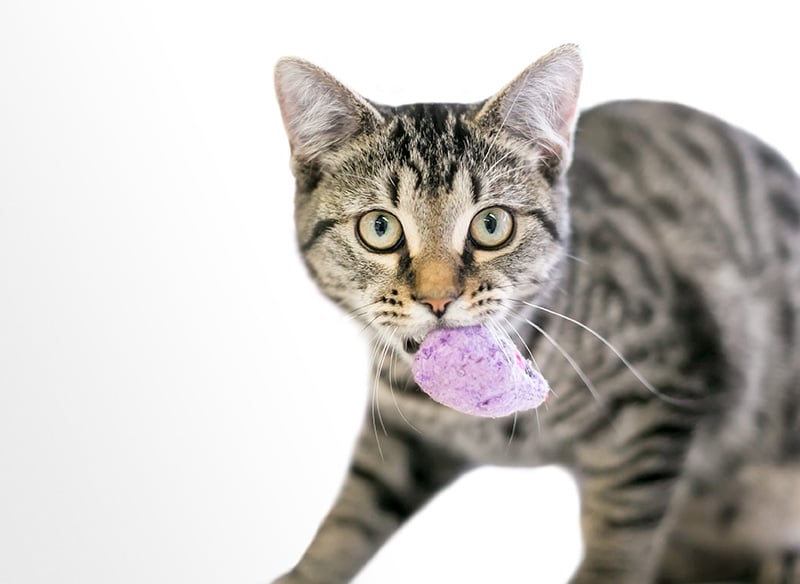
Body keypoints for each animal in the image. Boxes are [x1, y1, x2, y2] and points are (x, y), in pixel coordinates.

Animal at [272, 43, 800, 580]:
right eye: (379, 228)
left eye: (491, 224)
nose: (438, 299)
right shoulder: (400, 434)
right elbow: (351, 515)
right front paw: (307, 571)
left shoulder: (657, 402)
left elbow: (620, 538)